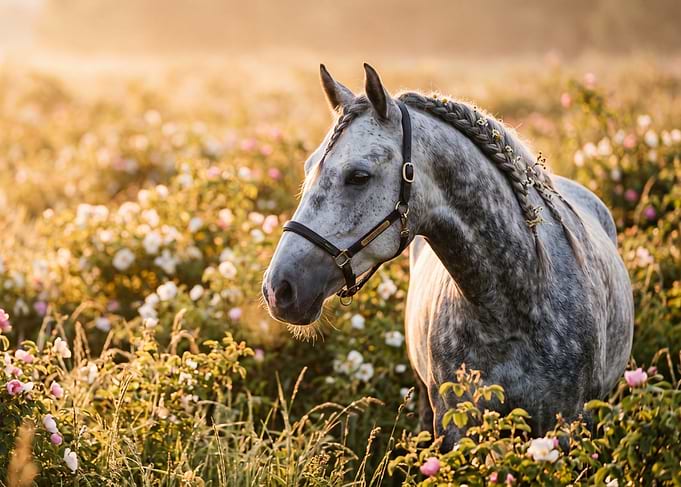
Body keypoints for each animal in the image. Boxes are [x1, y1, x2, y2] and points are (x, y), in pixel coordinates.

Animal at [262, 63, 634, 449]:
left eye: (359, 176)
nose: (278, 289)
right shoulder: (456, 425)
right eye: (308, 168)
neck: (516, 304)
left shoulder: (566, 426)